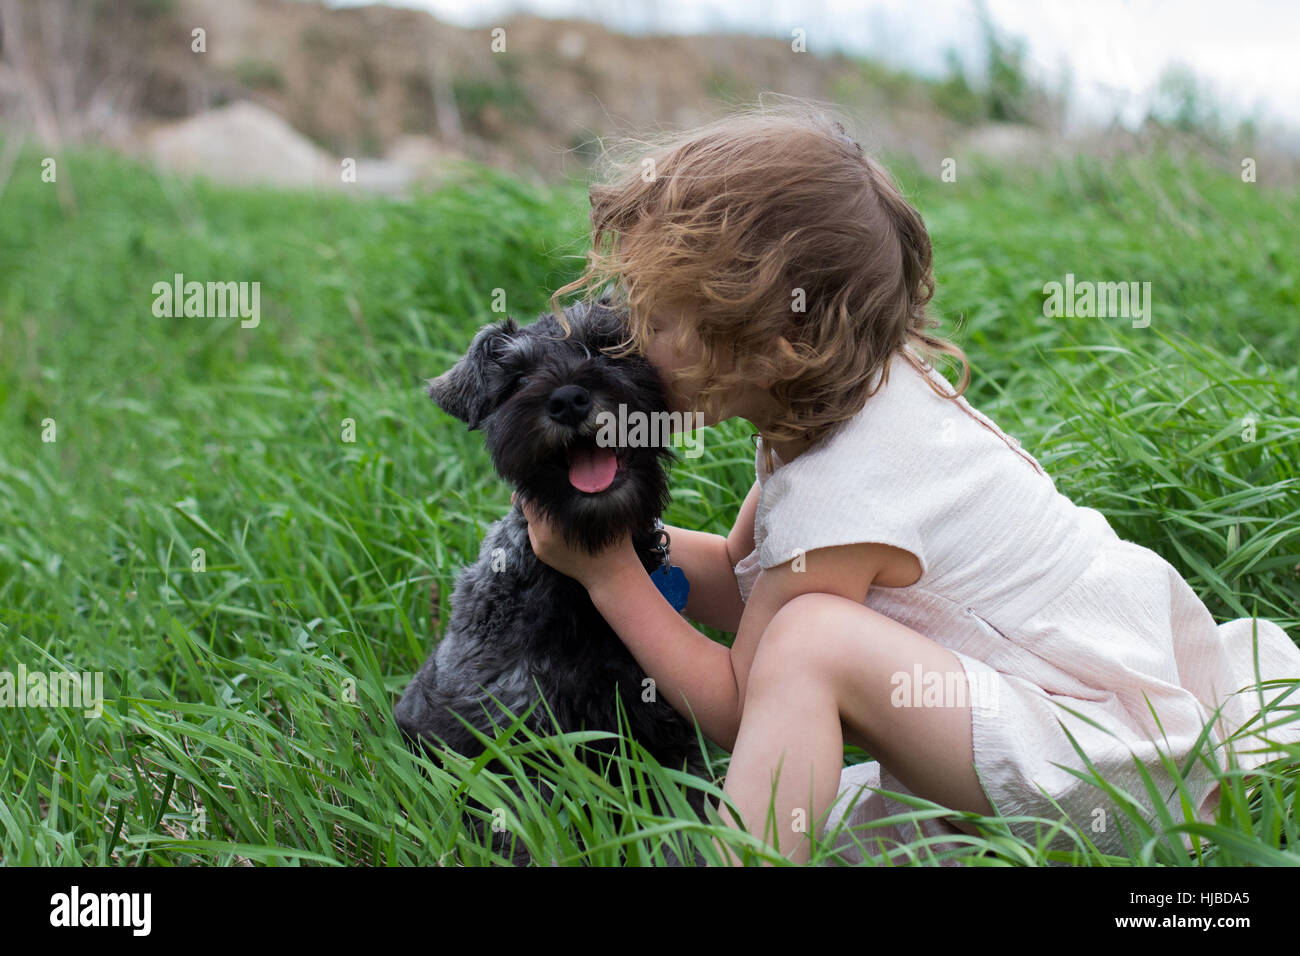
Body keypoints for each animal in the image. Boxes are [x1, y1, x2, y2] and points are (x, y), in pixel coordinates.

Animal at [397, 295, 712, 863]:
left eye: (606, 347)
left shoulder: (662, 734)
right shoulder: (517, 743)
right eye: (516, 378)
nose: (567, 400)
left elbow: (687, 821)